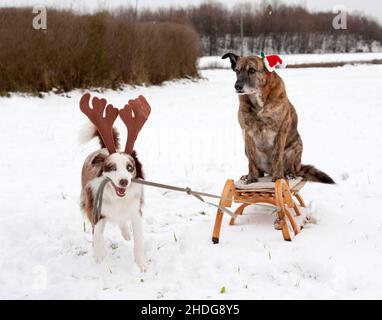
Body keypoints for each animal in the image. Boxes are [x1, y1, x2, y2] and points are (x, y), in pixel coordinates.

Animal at [222, 51, 332, 184]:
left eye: (252, 70)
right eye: (237, 71)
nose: (237, 87)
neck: (259, 100)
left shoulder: (281, 131)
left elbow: (278, 157)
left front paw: (278, 177)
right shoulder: (246, 132)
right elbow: (251, 162)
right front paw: (251, 177)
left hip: (297, 146)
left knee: (292, 169)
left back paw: (289, 175)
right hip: (246, 149)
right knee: (258, 168)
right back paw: (250, 175)